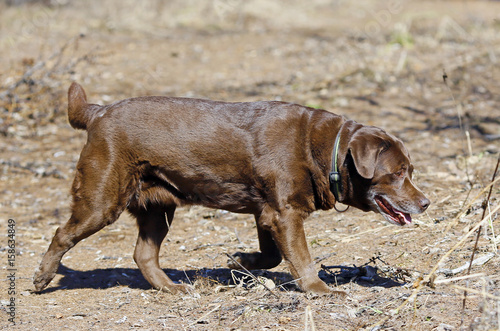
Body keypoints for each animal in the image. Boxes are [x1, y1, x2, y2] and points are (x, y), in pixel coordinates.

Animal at [33, 83, 428, 296]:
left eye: (410, 171)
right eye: (397, 173)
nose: (425, 203)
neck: (325, 150)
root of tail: (98, 112)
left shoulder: (267, 213)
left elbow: (271, 256)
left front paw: (239, 260)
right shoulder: (285, 214)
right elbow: (301, 257)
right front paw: (319, 290)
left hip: (158, 207)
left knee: (143, 254)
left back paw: (173, 288)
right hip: (102, 199)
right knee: (62, 233)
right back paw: (41, 278)